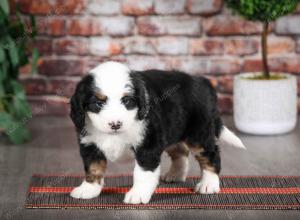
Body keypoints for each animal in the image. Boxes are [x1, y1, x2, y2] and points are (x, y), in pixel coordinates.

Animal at [69, 61, 245, 204]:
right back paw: (176, 174)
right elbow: (93, 167)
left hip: (199, 134)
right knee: (181, 152)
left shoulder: (148, 144)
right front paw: (88, 189)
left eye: (127, 101)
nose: (115, 124)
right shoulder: (90, 144)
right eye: (98, 103)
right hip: (172, 129)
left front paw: (138, 194)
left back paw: (209, 184)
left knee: (210, 155)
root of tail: (201, 82)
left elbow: (142, 172)